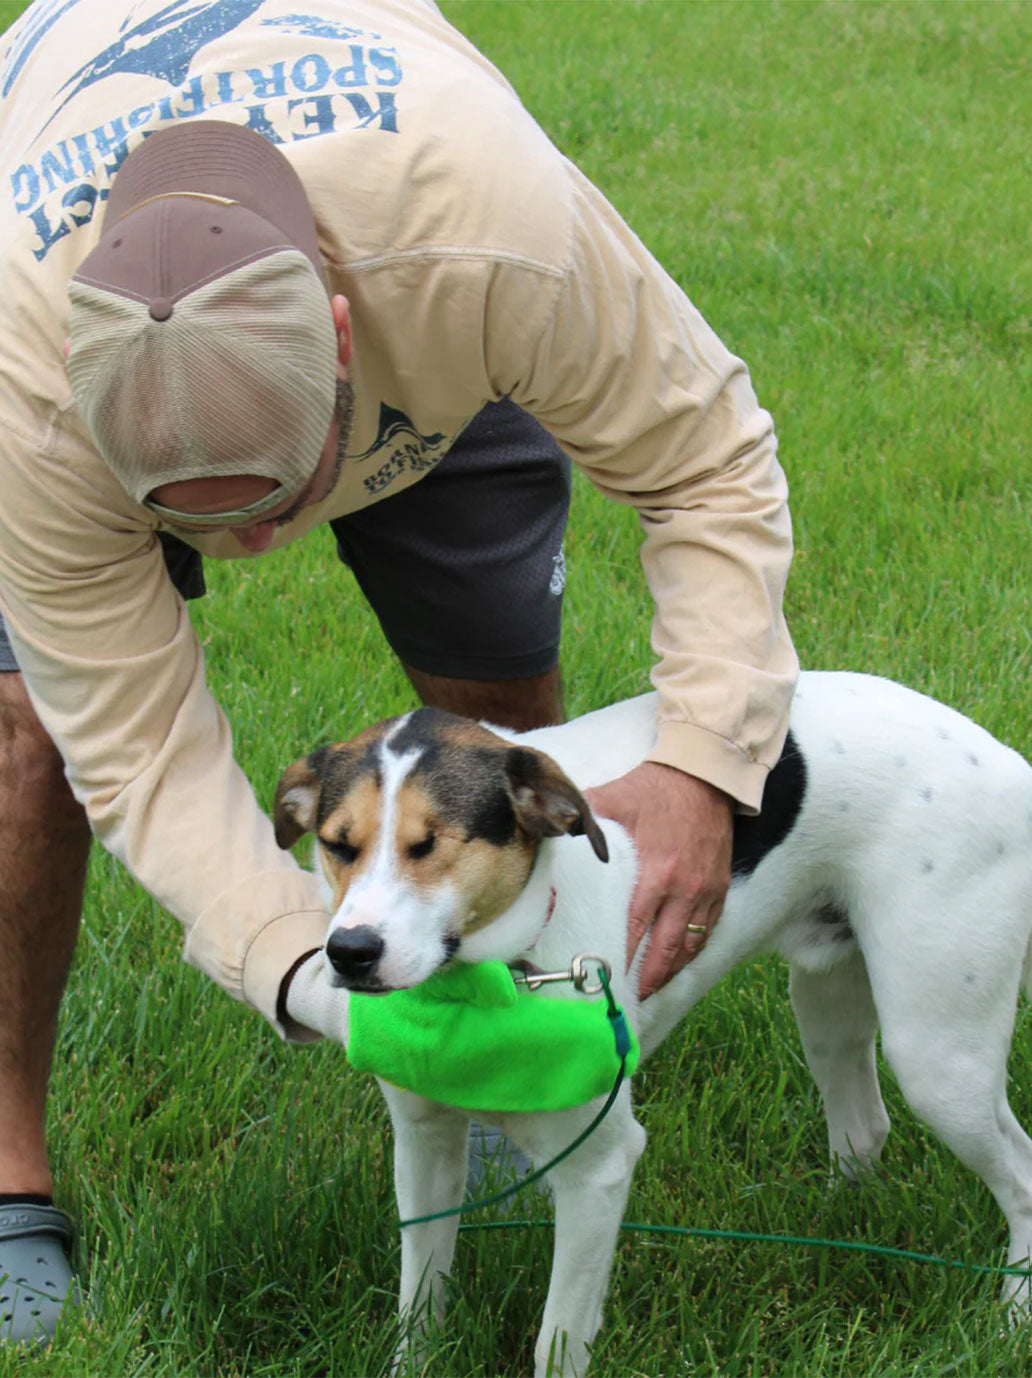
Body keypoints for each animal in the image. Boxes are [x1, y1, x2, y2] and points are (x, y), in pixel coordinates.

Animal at [275, 672, 1032, 1372]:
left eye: (430, 844)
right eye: (337, 845)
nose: (349, 952)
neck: (493, 981)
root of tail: (1007, 761)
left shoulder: (598, 1171)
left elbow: (557, 1340)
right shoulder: (425, 1145)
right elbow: (420, 1305)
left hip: (936, 1053)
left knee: (1022, 1178)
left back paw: (1013, 1318)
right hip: (827, 1004)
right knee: (864, 1126)